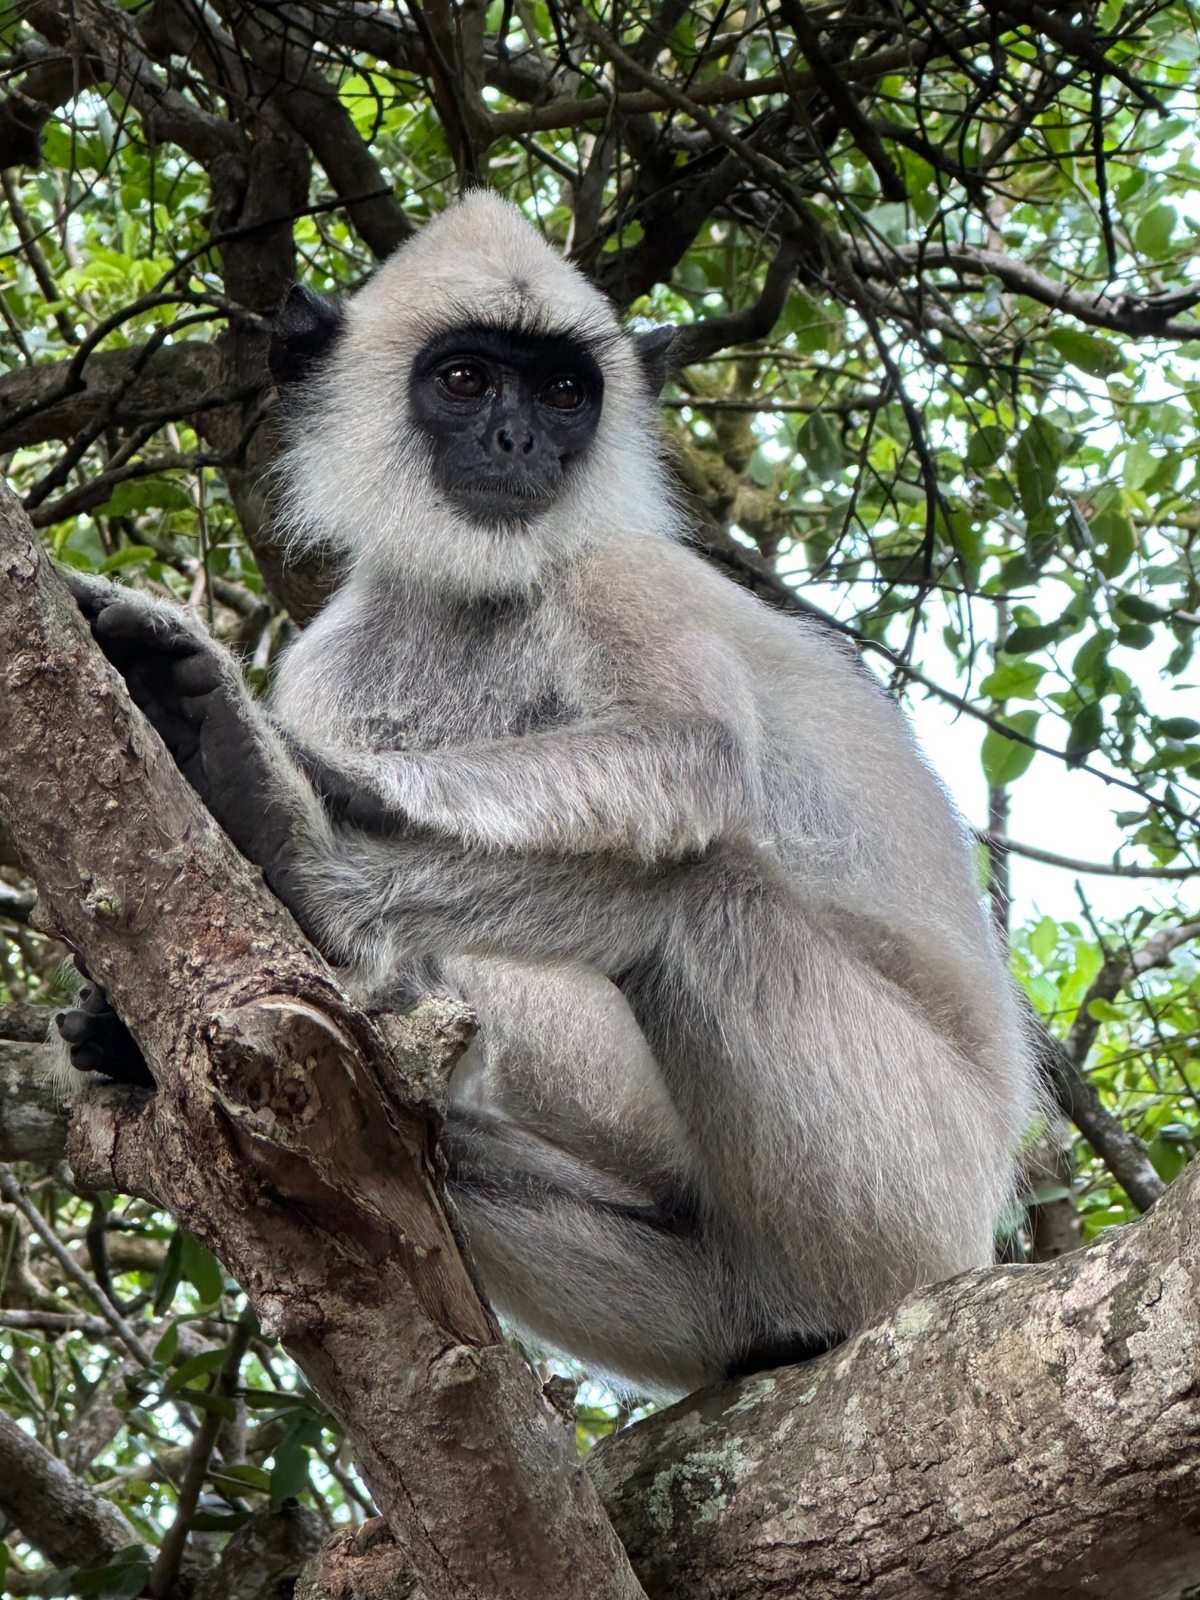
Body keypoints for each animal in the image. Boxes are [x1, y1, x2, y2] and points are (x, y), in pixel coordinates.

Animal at [56, 190, 1039, 1398]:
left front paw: (284, 769)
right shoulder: (341, 647)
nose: (516, 441)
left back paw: (301, 854)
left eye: (564, 392)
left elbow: (690, 752)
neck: (481, 595)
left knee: (688, 896)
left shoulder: (619, 571)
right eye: (467, 380)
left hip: (910, 1182)